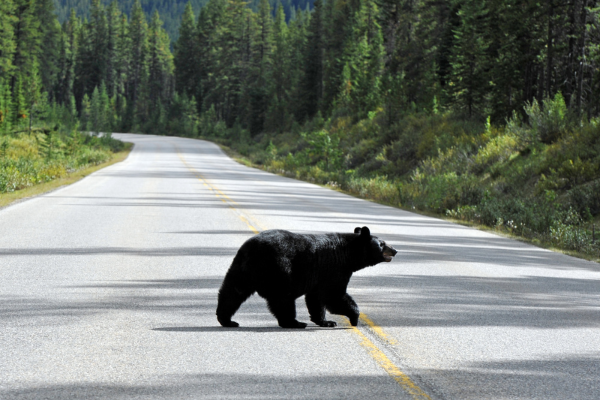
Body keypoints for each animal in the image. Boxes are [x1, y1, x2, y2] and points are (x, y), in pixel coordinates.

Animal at [217, 227, 398, 330]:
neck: (348, 255)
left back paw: (227, 320)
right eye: (382, 243)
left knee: (232, 292)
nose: (395, 250)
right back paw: (294, 323)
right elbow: (333, 296)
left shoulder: (319, 276)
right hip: (280, 270)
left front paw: (326, 321)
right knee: (283, 299)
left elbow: (316, 298)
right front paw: (354, 318)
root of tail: (253, 250)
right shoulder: (335, 269)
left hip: (242, 270)